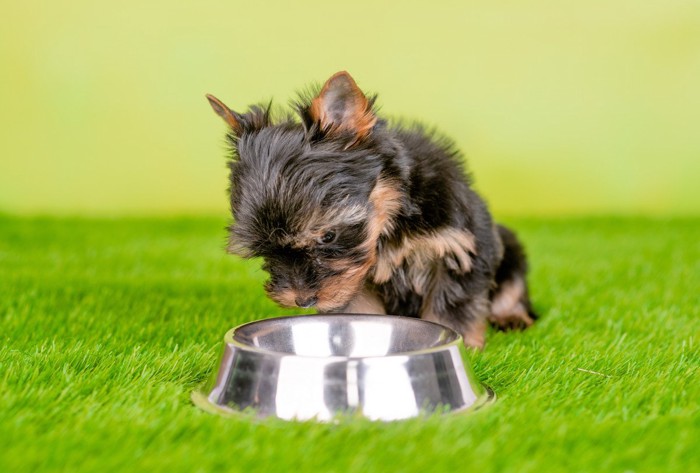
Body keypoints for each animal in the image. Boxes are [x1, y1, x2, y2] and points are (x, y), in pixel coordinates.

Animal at [206, 70, 536, 346]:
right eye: (265, 250)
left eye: (328, 236)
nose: (303, 300)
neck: (390, 217)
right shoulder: (353, 282)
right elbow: (360, 309)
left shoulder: (460, 249)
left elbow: (453, 305)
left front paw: (465, 344)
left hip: (507, 245)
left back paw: (512, 316)